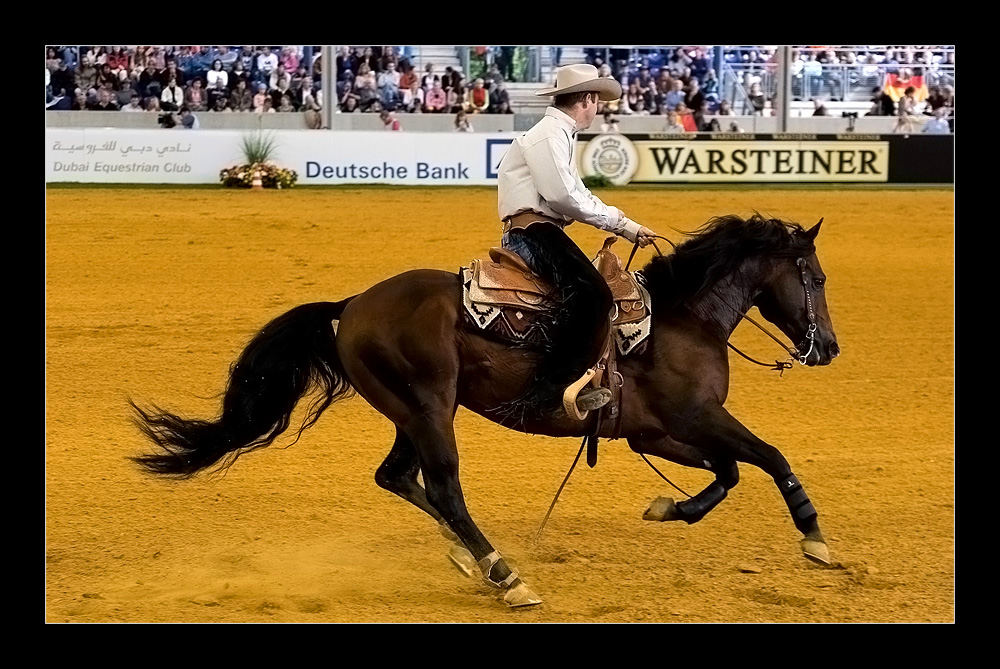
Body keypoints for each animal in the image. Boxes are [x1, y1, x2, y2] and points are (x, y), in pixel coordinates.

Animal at [131, 213, 836, 604]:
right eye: (819, 278)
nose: (828, 347)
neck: (681, 320)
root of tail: (352, 304)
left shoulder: (657, 434)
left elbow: (729, 472)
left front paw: (670, 507)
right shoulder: (695, 418)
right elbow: (769, 457)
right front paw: (816, 538)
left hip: (410, 412)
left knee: (397, 477)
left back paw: (468, 556)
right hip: (430, 407)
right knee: (444, 487)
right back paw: (504, 574)